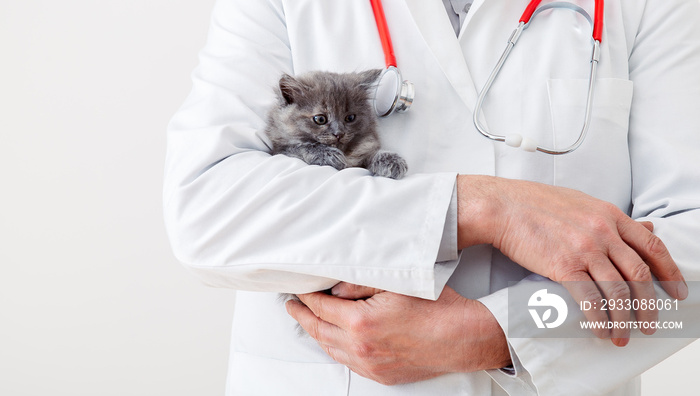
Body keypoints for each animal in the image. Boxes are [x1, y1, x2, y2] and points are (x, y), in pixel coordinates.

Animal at [264, 70, 408, 179]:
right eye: (320, 119)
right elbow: (303, 146)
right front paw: (329, 154)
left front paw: (392, 160)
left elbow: (370, 154)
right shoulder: (280, 150)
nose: (339, 133)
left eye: (350, 118)